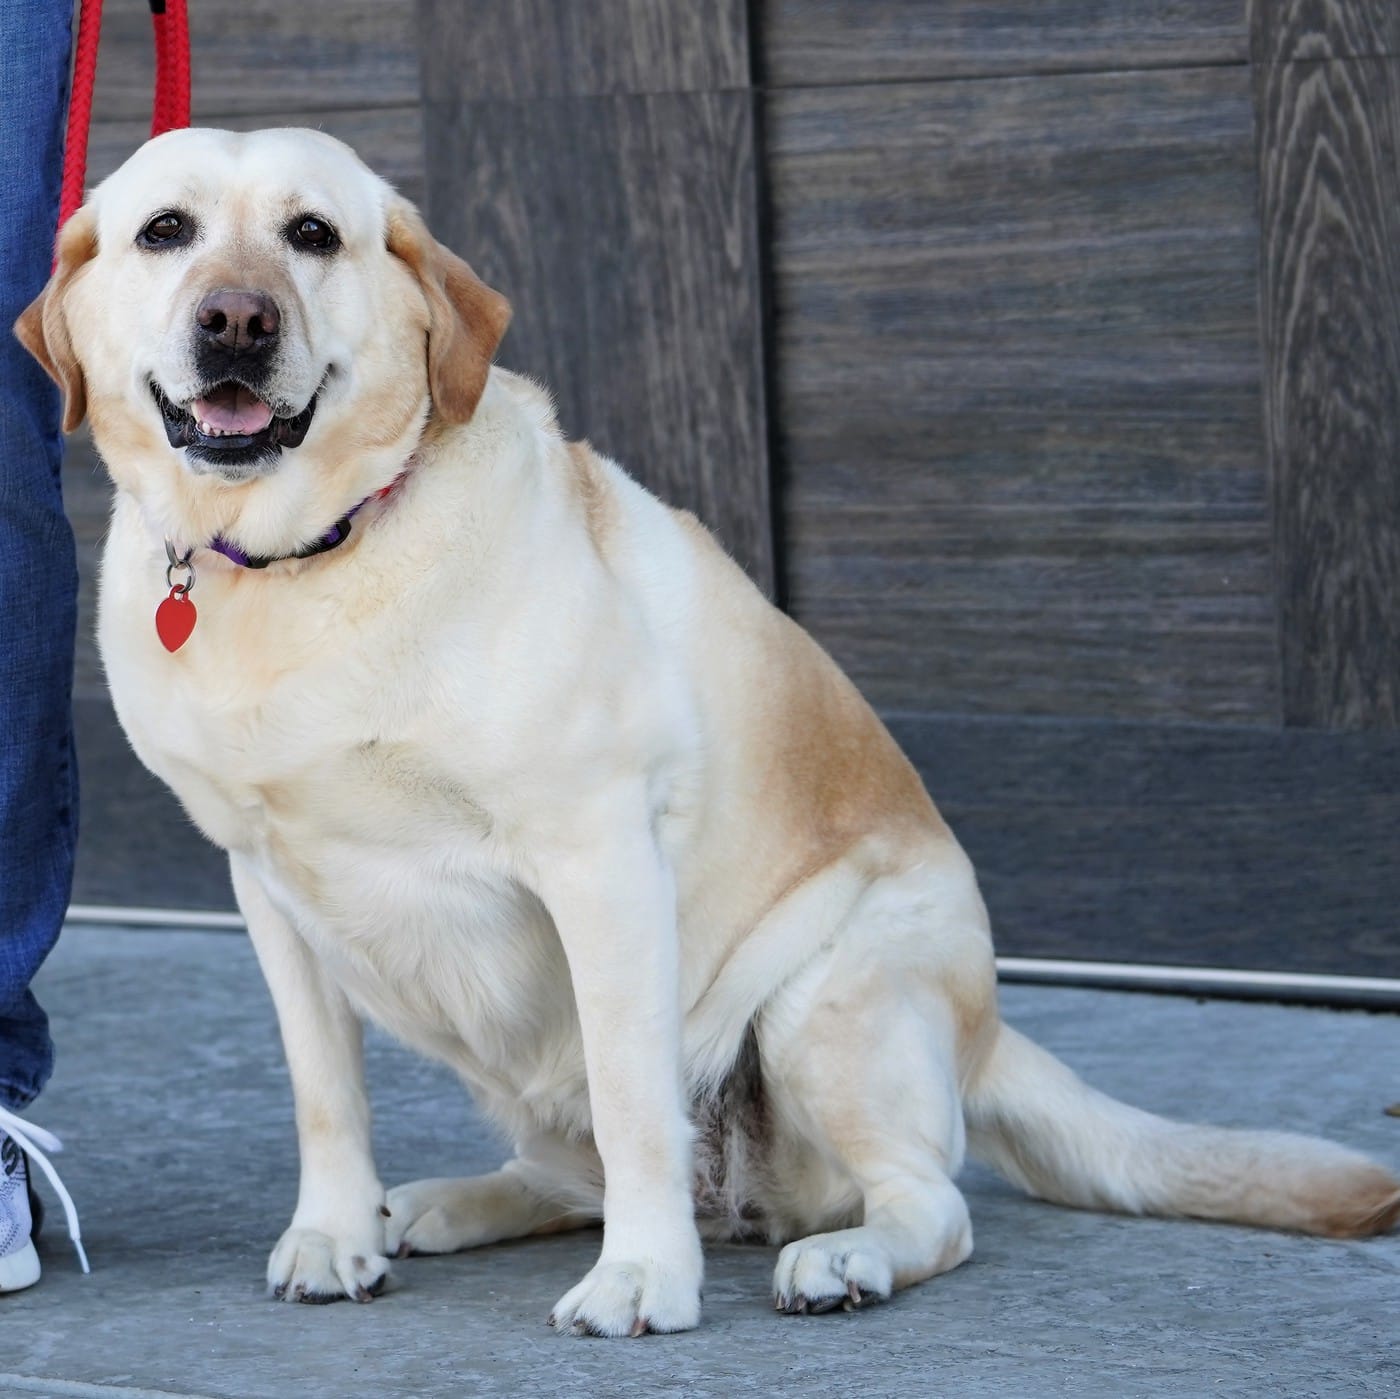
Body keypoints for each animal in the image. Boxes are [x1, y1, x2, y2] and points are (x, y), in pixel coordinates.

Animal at [17, 127, 1399, 1336]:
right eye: (165, 231)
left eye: (312, 234)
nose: (236, 321)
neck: (305, 560)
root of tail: (985, 1031)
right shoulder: (265, 884)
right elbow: (323, 1093)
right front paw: (334, 1232)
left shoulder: (598, 861)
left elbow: (637, 1100)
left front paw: (644, 1282)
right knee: (571, 1170)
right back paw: (443, 1203)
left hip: (826, 1002)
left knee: (922, 1202)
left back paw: (838, 1258)